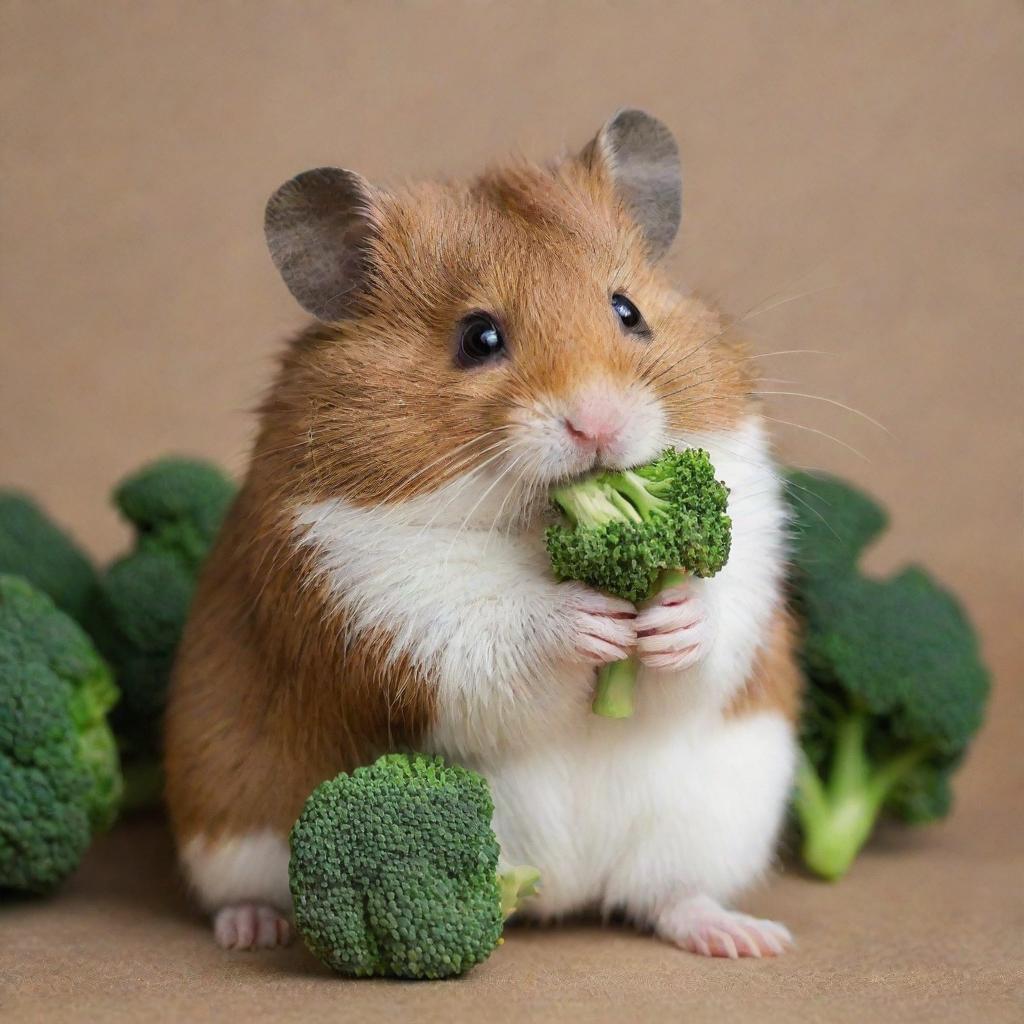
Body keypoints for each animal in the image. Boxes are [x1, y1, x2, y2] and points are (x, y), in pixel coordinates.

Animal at [161, 108, 798, 954]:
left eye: (628, 311)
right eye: (478, 338)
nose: (599, 424)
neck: (536, 528)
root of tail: (557, 895)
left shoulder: (747, 508)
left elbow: (712, 625)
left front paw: (671, 615)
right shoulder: (363, 582)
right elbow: (492, 624)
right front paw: (586, 623)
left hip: (716, 817)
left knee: (666, 896)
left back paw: (745, 938)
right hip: (235, 829)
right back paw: (253, 929)